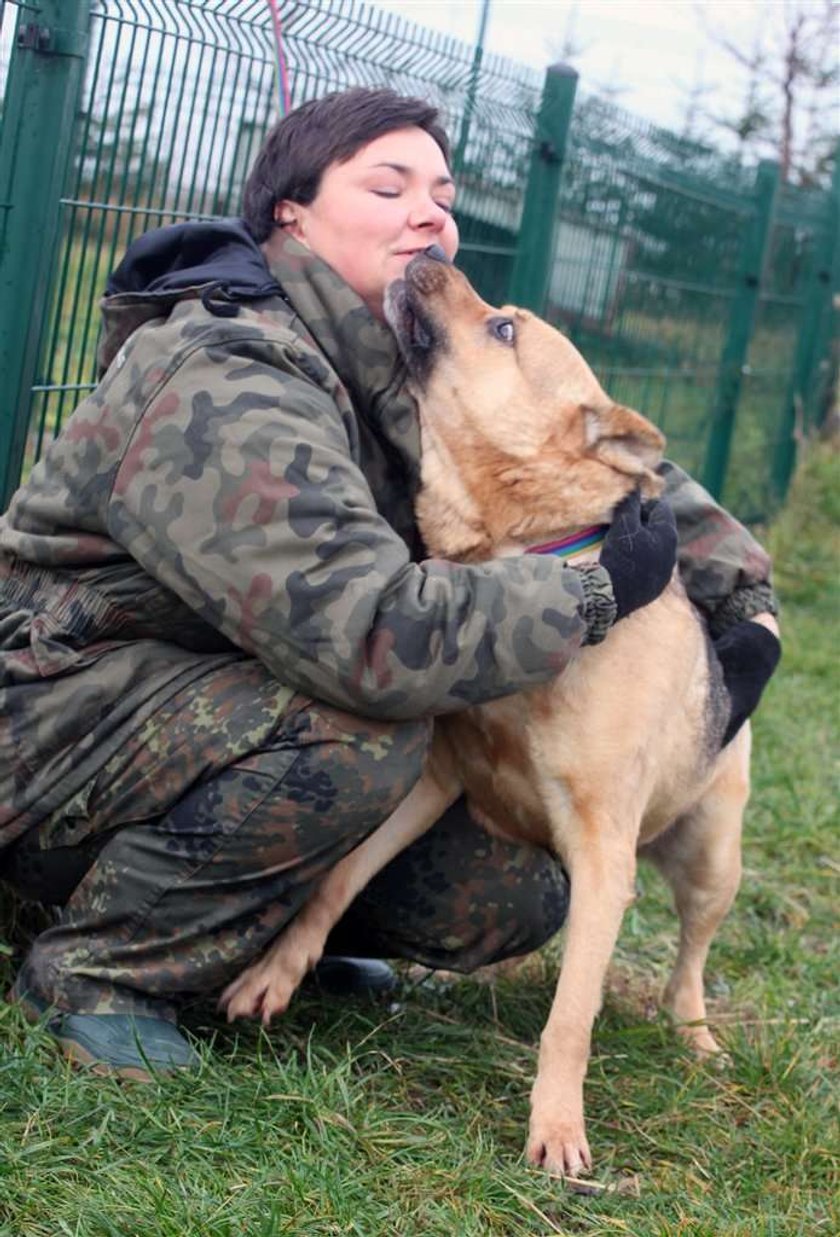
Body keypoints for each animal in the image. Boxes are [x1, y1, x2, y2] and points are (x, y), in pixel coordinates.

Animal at [220, 258, 752, 1177]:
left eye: (504, 328)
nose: (426, 254)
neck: (527, 566)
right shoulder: (431, 782)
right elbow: (335, 880)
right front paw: (275, 974)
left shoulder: (604, 852)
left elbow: (570, 1021)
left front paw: (559, 1127)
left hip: (711, 860)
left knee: (690, 954)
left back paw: (693, 1035)